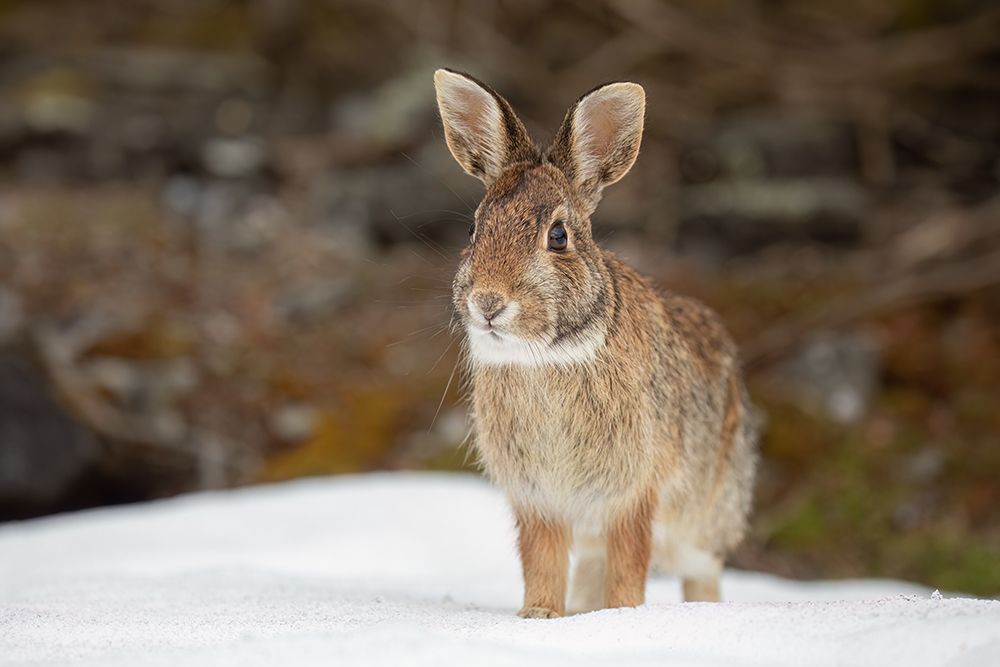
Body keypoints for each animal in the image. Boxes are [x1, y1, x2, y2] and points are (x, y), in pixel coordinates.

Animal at [433, 68, 758, 618]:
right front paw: (539, 615)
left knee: (701, 572)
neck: (548, 356)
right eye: (475, 228)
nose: (488, 302)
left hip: (706, 517)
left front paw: (622, 614)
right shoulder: (539, 500)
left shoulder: (631, 495)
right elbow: (542, 561)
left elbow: (628, 564)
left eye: (558, 236)